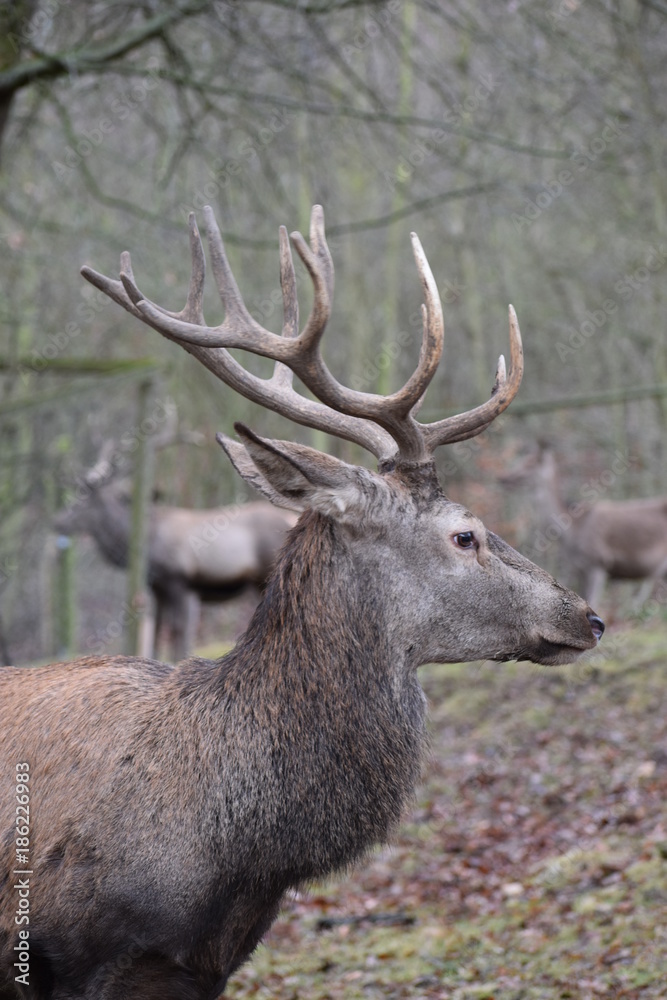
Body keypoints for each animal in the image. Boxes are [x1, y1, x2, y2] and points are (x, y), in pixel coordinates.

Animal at [54, 434, 298, 660]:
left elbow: (178, 631)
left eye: (82, 502)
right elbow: (157, 629)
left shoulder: (179, 581)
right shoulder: (157, 587)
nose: (58, 521)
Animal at [508, 444, 667, 608]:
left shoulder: (598, 564)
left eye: (531, 464)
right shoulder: (580, 569)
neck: (573, 531)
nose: (505, 478)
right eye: (522, 460)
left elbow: (594, 603)